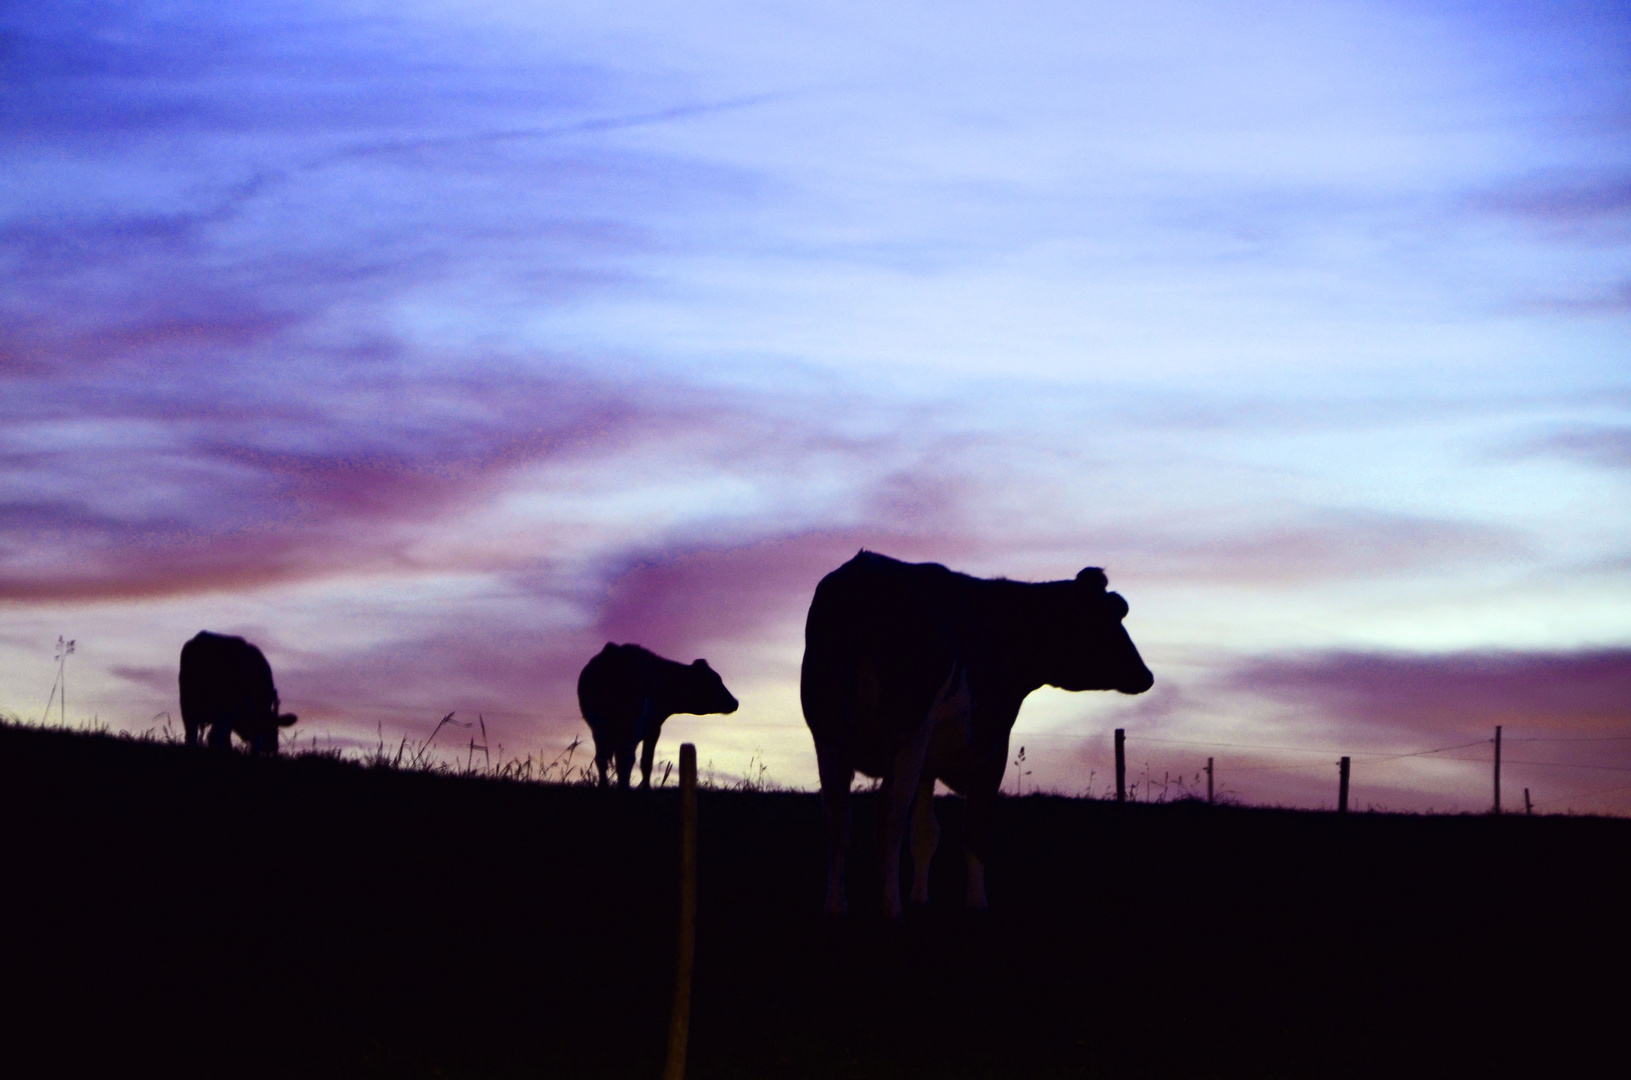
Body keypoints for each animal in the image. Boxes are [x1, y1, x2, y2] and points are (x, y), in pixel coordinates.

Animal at [580, 646, 740, 792]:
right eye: (714, 680)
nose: (735, 702)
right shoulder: (654, 728)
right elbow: (646, 761)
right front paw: (646, 788)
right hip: (630, 725)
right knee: (626, 758)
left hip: (600, 727)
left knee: (603, 759)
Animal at [795, 554, 1154, 920]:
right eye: (1101, 616)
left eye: (1121, 609)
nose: (1146, 676)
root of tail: (866, 566)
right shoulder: (992, 745)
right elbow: (976, 826)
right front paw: (976, 904)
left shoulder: (929, 764)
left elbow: (925, 832)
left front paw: (921, 899)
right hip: (908, 730)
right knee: (889, 813)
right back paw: (890, 908)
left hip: (827, 731)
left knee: (837, 815)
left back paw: (836, 906)